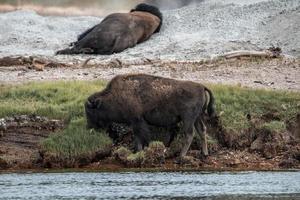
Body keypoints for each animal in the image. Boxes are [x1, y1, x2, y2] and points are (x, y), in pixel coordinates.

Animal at [85, 73, 216, 158]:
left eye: (90, 111)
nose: (89, 126)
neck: (113, 96)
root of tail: (201, 86)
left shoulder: (137, 121)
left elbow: (141, 138)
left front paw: (140, 151)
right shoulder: (135, 122)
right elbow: (138, 138)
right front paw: (137, 152)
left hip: (188, 118)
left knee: (189, 134)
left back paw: (181, 157)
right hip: (197, 117)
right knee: (202, 131)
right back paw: (204, 154)